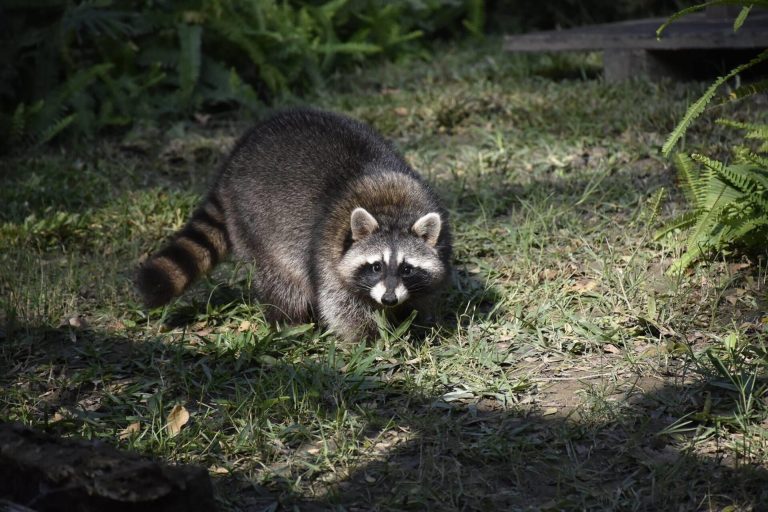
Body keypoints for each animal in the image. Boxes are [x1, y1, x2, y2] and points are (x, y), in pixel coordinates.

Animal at [137, 109, 452, 341]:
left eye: (407, 268)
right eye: (376, 266)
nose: (388, 299)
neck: (392, 209)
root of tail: (234, 159)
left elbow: (426, 292)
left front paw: (415, 321)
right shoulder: (327, 248)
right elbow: (340, 303)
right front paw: (369, 336)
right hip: (253, 221)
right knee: (283, 280)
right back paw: (288, 322)